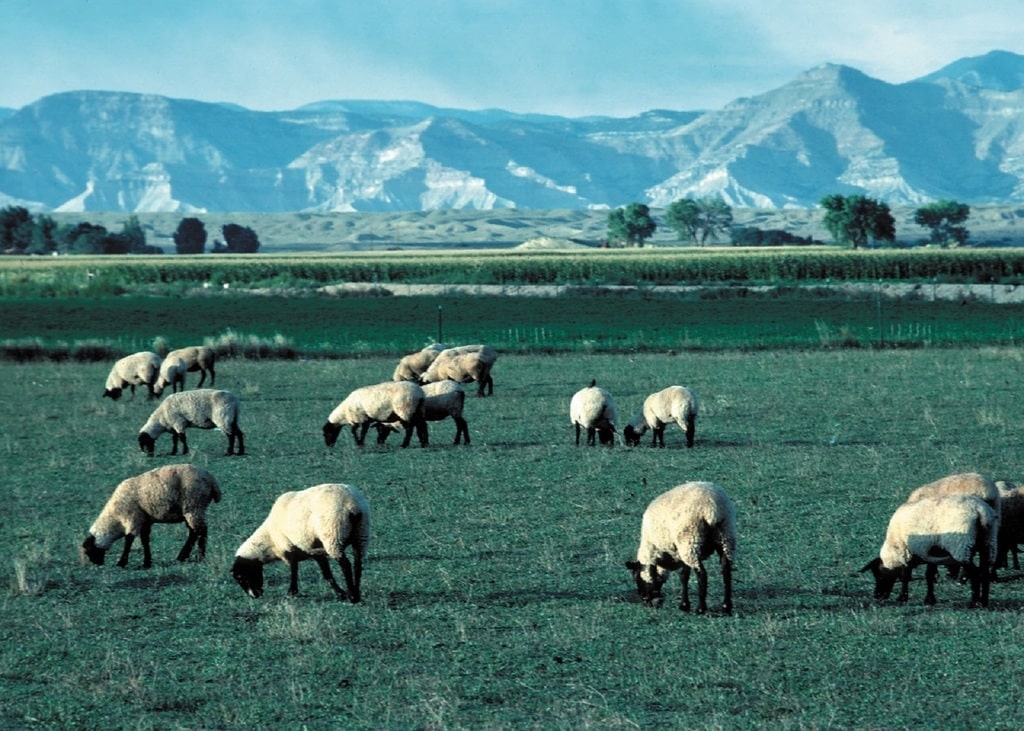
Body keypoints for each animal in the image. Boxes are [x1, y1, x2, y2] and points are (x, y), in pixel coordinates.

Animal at [81, 464, 221, 569]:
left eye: (89, 550)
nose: (97, 563)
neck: (116, 519)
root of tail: (211, 480)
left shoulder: (133, 519)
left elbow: (129, 540)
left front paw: (122, 563)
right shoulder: (145, 521)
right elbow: (145, 541)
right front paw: (147, 562)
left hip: (193, 506)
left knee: (201, 531)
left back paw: (199, 557)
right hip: (190, 510)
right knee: (193, 532)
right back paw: (182, 556)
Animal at [232, 483, 370, 603]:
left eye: (241, 577)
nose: (254, 595)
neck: (270, 539)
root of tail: (352, 505)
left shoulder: (289, 547)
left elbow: (294, 570)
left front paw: (291, 593)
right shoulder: (314, 550)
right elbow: (326, 573)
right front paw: (340, 593)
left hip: (333, 536)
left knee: (346, 565)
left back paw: (353, 596)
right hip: (361, 533)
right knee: (358, 564)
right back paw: (356, 593)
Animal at [625, 481, 736, 615]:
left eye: (636, 578)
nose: (644, 600)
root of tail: (712, 509)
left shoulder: (680, 550)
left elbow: (683, 577)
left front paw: (684, 605)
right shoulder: (680, 552)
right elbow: (685, 574)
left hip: (690, 541)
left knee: (702, 574)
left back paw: (701, 608)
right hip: (726, 536)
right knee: (726, 570)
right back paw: (726, 606)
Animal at [861, 493, 997, 608]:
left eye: (878, 575)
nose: (877, 596)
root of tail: (980, 511)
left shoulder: (906, 552)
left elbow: (905, 576)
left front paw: (902, 598)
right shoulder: (929, 554)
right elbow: (929, 575)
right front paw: (929, 600)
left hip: (961, 547)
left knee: (975, 573)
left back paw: (974, 602)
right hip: (987, 543)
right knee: (984, 572)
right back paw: (984, 601)